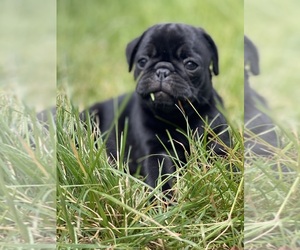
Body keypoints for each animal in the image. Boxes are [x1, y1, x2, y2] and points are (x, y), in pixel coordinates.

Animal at [81, 23, 231, 191]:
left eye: (191, 64)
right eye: (142, 61)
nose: (162, 71)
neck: (178, 116)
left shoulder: (217, 140)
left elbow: (226, 163)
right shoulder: (156, 152)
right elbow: (161, 177)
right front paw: (163, 198)